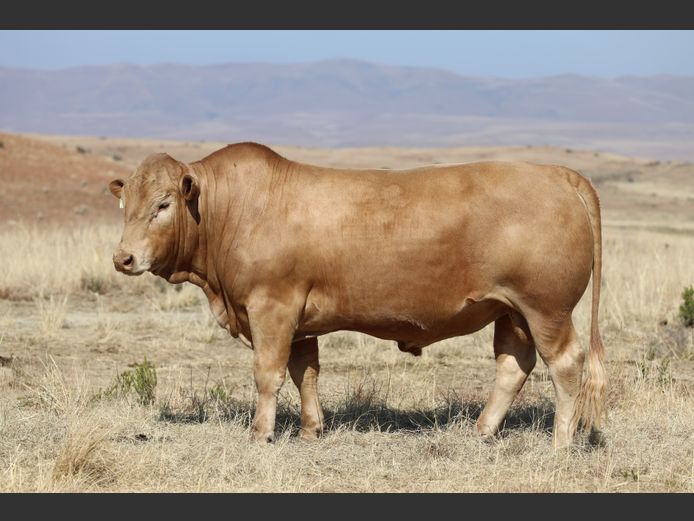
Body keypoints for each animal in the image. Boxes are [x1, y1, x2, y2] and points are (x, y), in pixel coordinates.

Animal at [109, 142, 606, 448]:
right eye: (125, 204)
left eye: (163, 205)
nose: (123, 258)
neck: (232, 210)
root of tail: (557, 173)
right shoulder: (300, 320)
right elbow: (305, 373)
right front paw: (311, 429)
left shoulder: (272, 307)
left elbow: (268, 374)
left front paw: (261, 433)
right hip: (512, 312)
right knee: (513, 365)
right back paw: (482, 431)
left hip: (546, 308)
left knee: (565, 365)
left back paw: (561, 440)